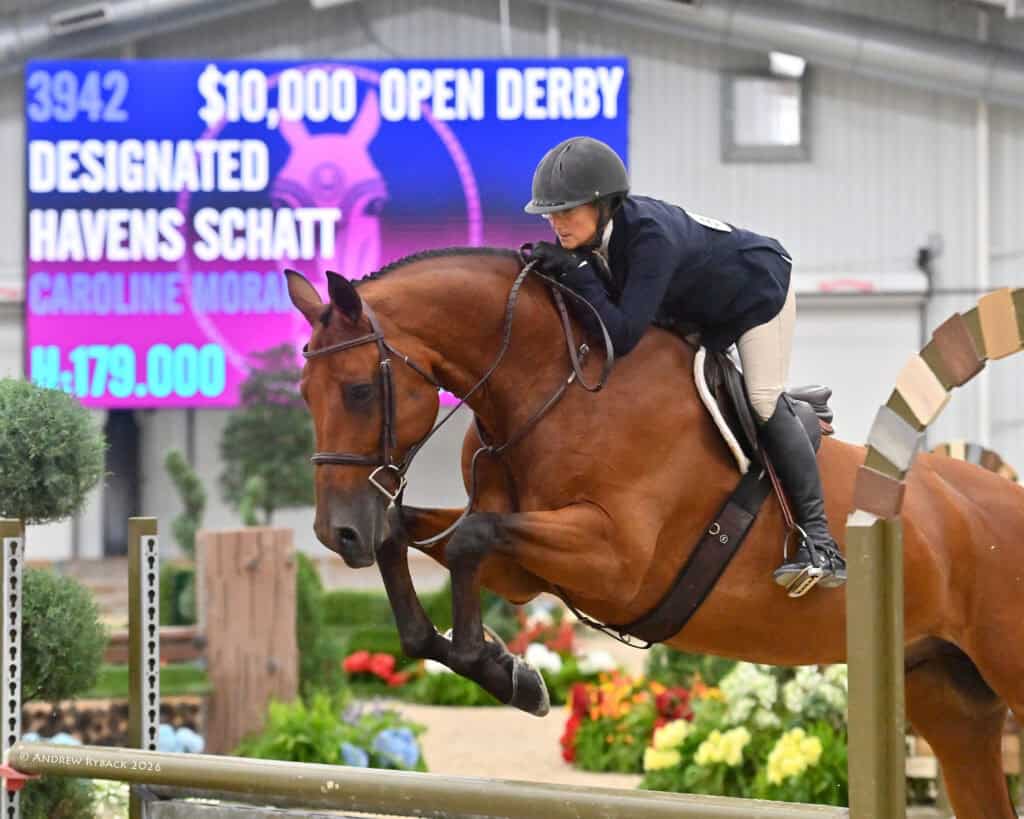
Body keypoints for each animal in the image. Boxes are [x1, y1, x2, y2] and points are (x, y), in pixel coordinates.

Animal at [286, 248, 1023, 819]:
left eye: (357, 390)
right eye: (303, 393)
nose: (336, 532)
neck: (548, 387)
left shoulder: (616, 563)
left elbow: (469, 540)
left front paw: (502, 668)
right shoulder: (520, 569)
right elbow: (414, 539)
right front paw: (505, 668)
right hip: (948, 696)